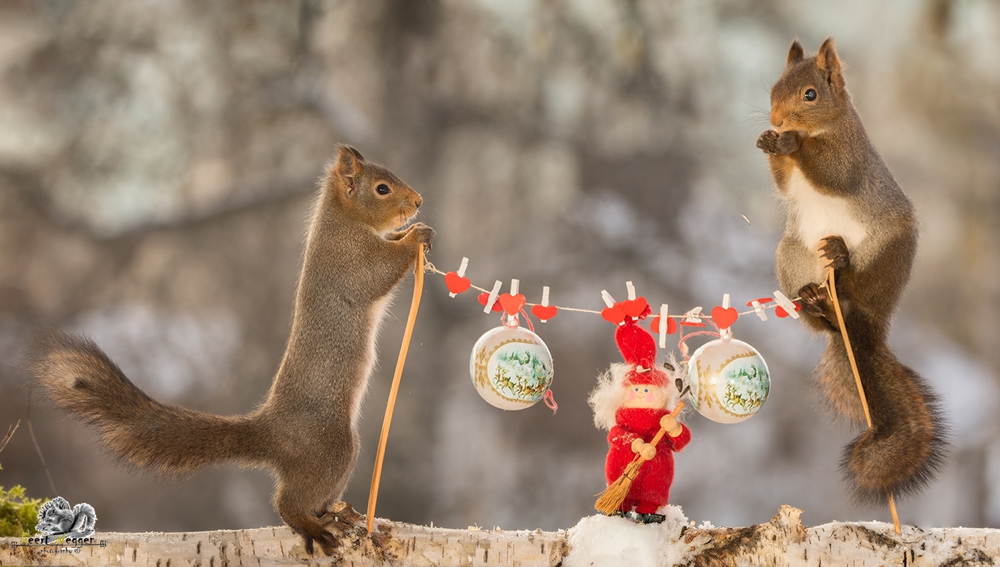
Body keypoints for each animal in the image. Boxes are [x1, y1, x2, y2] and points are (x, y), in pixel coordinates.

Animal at [756, 37, 944, 504]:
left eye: (810, 94)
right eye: (773, 89)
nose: (776, 120)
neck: (819, 128)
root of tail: (868, 328)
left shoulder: (850, 155)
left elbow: (833, 171)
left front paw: (789, 143)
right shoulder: (791, 183)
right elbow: (785, 182)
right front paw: (770, 140)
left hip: (886, 257)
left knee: (859, 287)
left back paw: (842, 269)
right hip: (792, 255)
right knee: (820, 318)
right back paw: (815, 303)